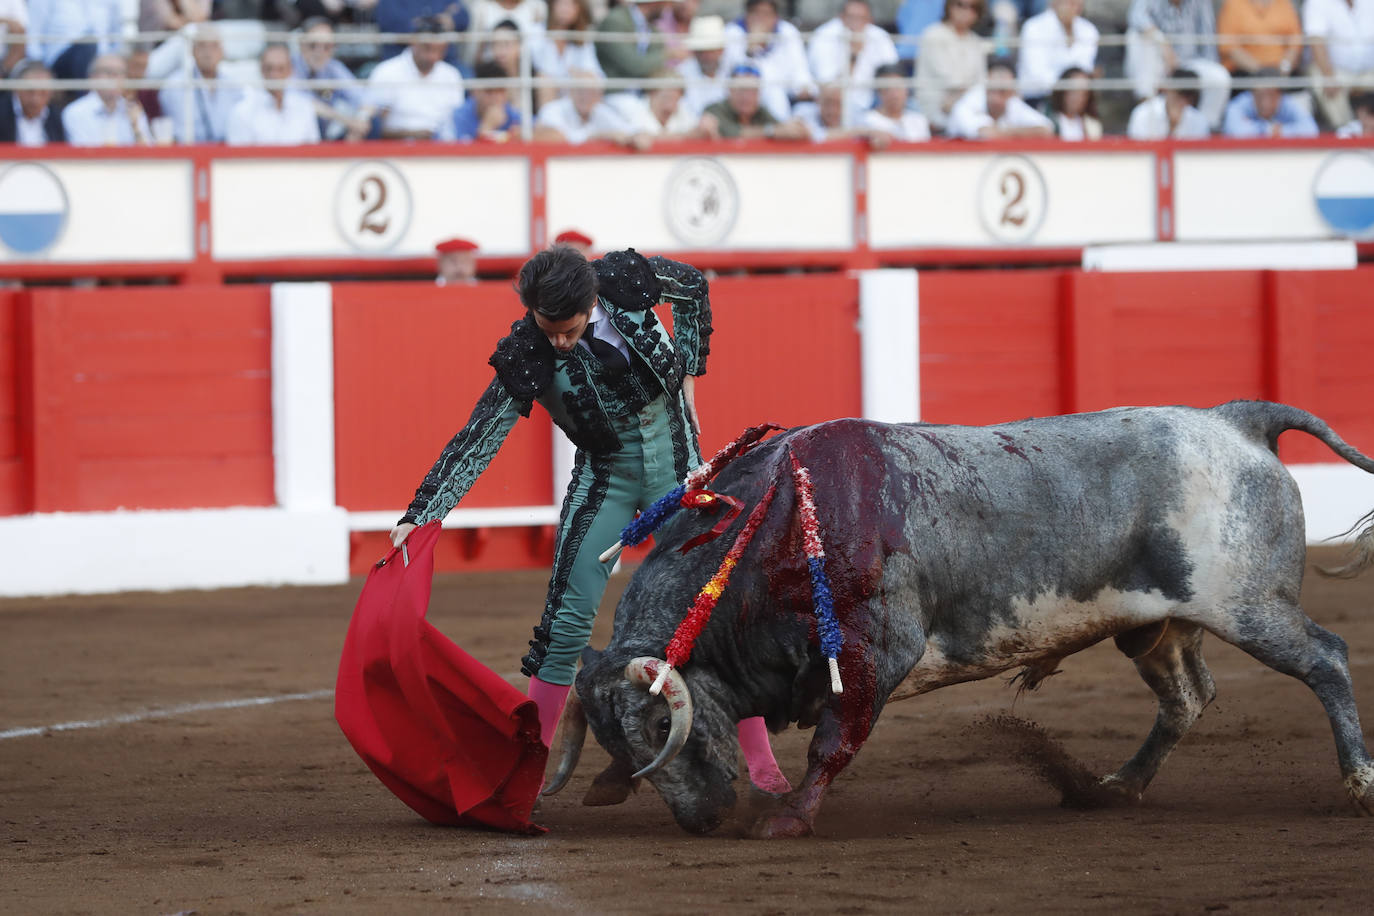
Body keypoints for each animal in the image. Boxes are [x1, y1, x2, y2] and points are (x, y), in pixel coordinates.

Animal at [541, 403, 1374, 840]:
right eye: (614, 742)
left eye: (659, 726)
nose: (704, 820)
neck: (772, 532)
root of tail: (1234, 422)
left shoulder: (875, 652)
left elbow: (832, 744)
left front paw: (789, 820)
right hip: (1159, 626)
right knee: (1188, 698)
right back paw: (1117, 786)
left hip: (1250, 605)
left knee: (1327, 658)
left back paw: (1359, 783)